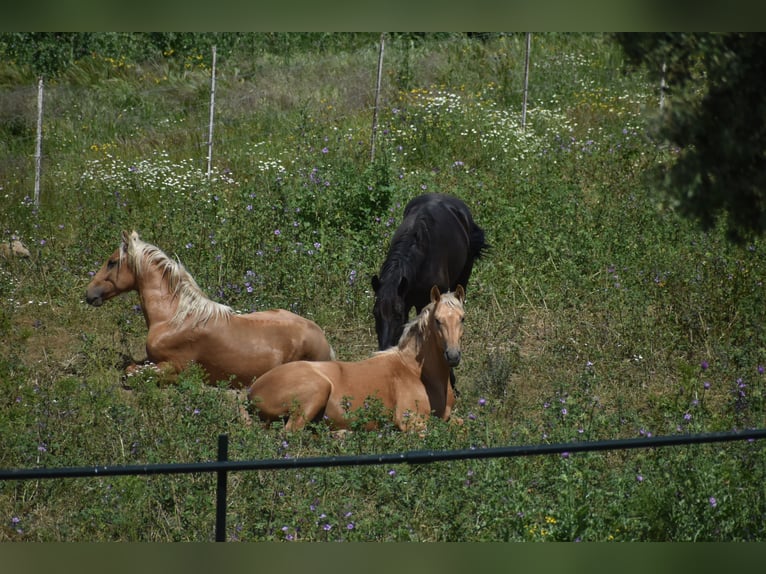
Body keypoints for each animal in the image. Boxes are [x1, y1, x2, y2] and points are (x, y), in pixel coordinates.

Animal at [85, 230, 335, 389]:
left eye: (112, 262)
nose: (89, 294)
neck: (174, 319)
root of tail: (323, 340)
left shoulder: (172, 366)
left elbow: (131, 374)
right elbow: (130, 367)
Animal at [248, 285, 465, 432]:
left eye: (462, 318)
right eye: (437, 321)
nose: (453, 355)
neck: (416, 373)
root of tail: (252, 391)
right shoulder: (411, 421)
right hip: (316, 391)